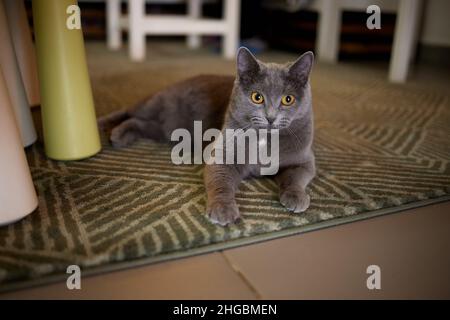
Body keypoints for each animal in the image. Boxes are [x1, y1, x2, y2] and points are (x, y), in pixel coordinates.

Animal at [99, 48, 316, 228]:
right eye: (257, 97)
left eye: (288, 99)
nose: (271, 117)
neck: (266, 139)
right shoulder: (221, 154)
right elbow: (221, 182)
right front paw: (223, 209)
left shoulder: (304, 159)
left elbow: (296, 177)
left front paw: (296, 197)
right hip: (156, 103)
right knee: (129, 111)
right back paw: (105, 126)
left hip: (165, 129)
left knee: (140, 123)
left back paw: (121, 136)